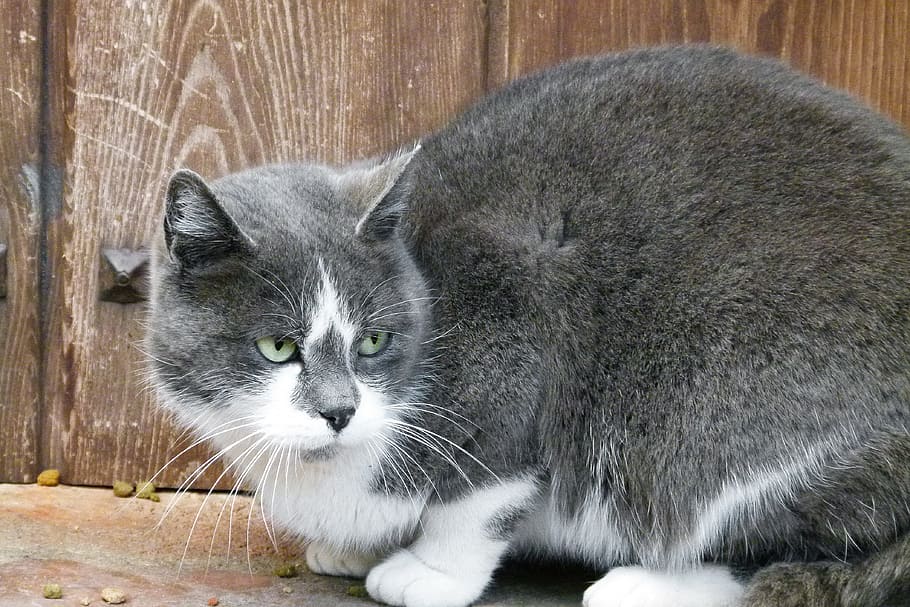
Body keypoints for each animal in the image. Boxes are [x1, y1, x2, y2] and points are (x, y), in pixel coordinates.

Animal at [148, 47, 910, 607]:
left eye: (373, 340)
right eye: (277, 346)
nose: (339, 410)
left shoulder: (515, 335)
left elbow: (480, 493)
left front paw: (429, 570)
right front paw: (356, 545)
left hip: (719, 417)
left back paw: (646, 585)